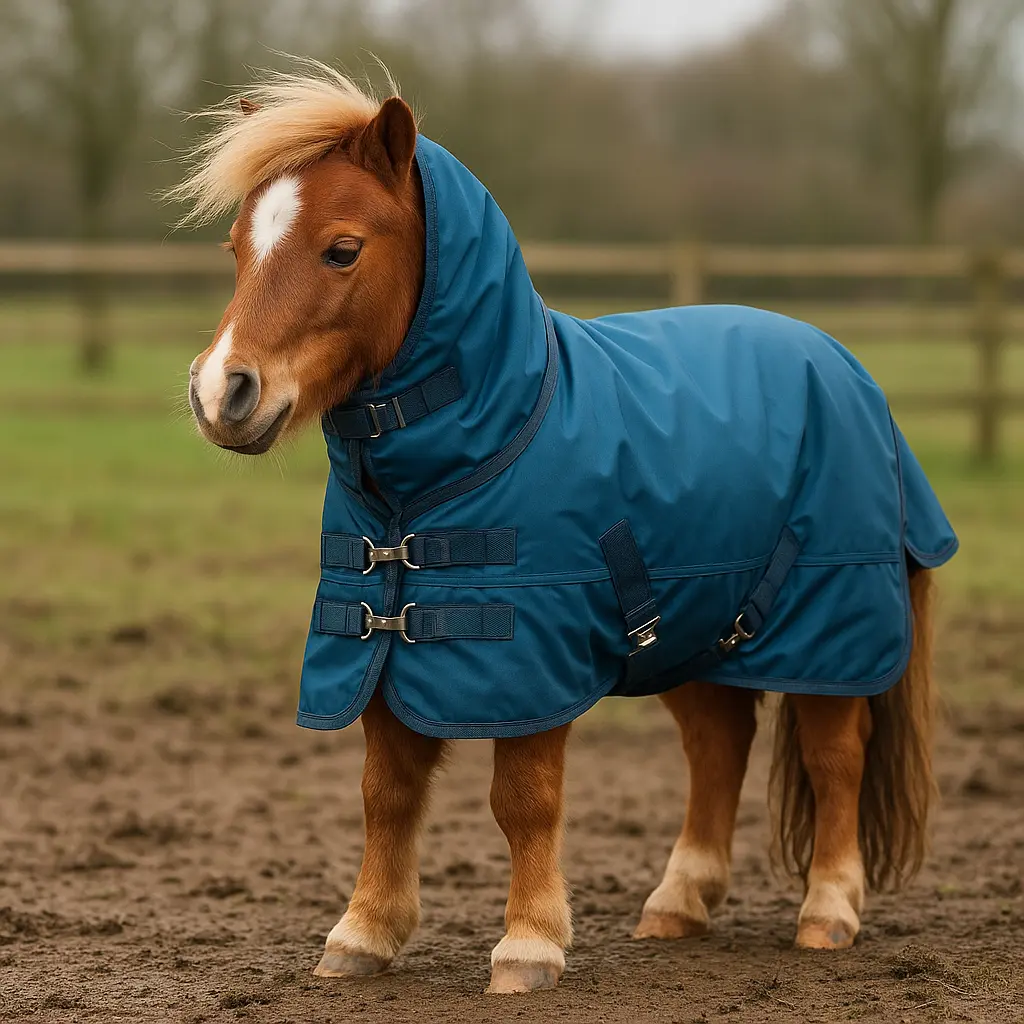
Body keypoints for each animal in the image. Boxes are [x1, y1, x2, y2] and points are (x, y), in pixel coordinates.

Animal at [172, 63, 953, 994]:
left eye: (343, 249)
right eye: (236, 249)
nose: (222, 392)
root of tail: (842, 366)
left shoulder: (530, 657)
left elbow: (523, 801)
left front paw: (529, 944)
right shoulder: (378, 642)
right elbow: (385, 792)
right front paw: (363, 934)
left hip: (828, 625)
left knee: (838, 756)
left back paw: (828, 910)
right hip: (693, 633)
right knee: (718, 746)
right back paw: (679, 901)